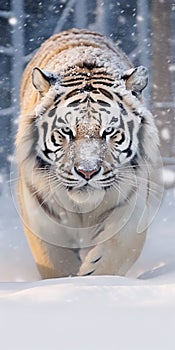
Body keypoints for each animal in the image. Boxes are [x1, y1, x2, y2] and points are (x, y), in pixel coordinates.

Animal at [15, 28, 162, 278]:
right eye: (66, 130)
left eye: (109, 131)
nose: (87, 172)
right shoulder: (41, 214)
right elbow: (57, 262)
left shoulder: (133, 202)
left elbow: (121, 247)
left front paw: (94, 276)